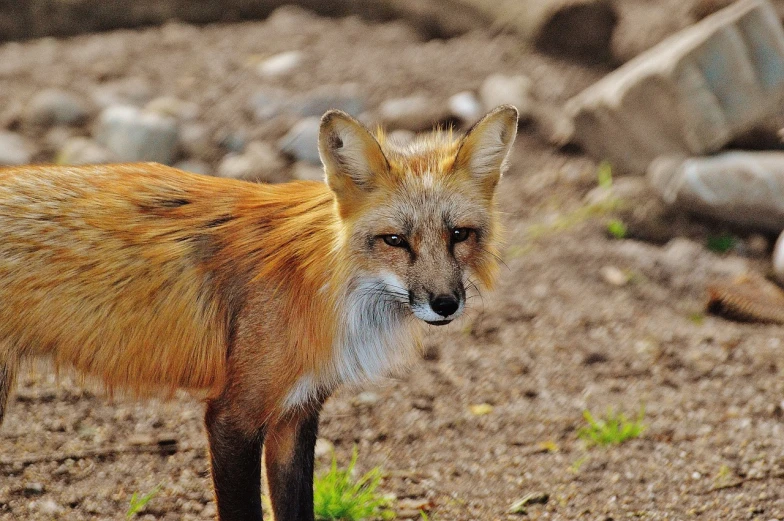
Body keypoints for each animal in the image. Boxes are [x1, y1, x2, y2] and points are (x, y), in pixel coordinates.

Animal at [0, 104, 516, 516]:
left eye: (459, 234)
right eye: (394, 240)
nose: (445, 304)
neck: (321, 286)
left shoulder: (297, 413)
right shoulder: (233, 416)